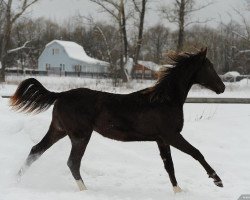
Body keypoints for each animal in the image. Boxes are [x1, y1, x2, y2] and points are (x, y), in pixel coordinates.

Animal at [10, 47, 225, 193]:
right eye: (209, 66)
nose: (222, 87)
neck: (164, 100)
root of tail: (60, 95)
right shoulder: (172, 135)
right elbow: (196, 153)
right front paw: (218, 181)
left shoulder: (162, 140)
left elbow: (169, 166)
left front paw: (178, 192)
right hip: (80, 136)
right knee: (72, 162)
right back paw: (85, 191)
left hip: (59, 130)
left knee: (36, 151)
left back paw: (16, 180)